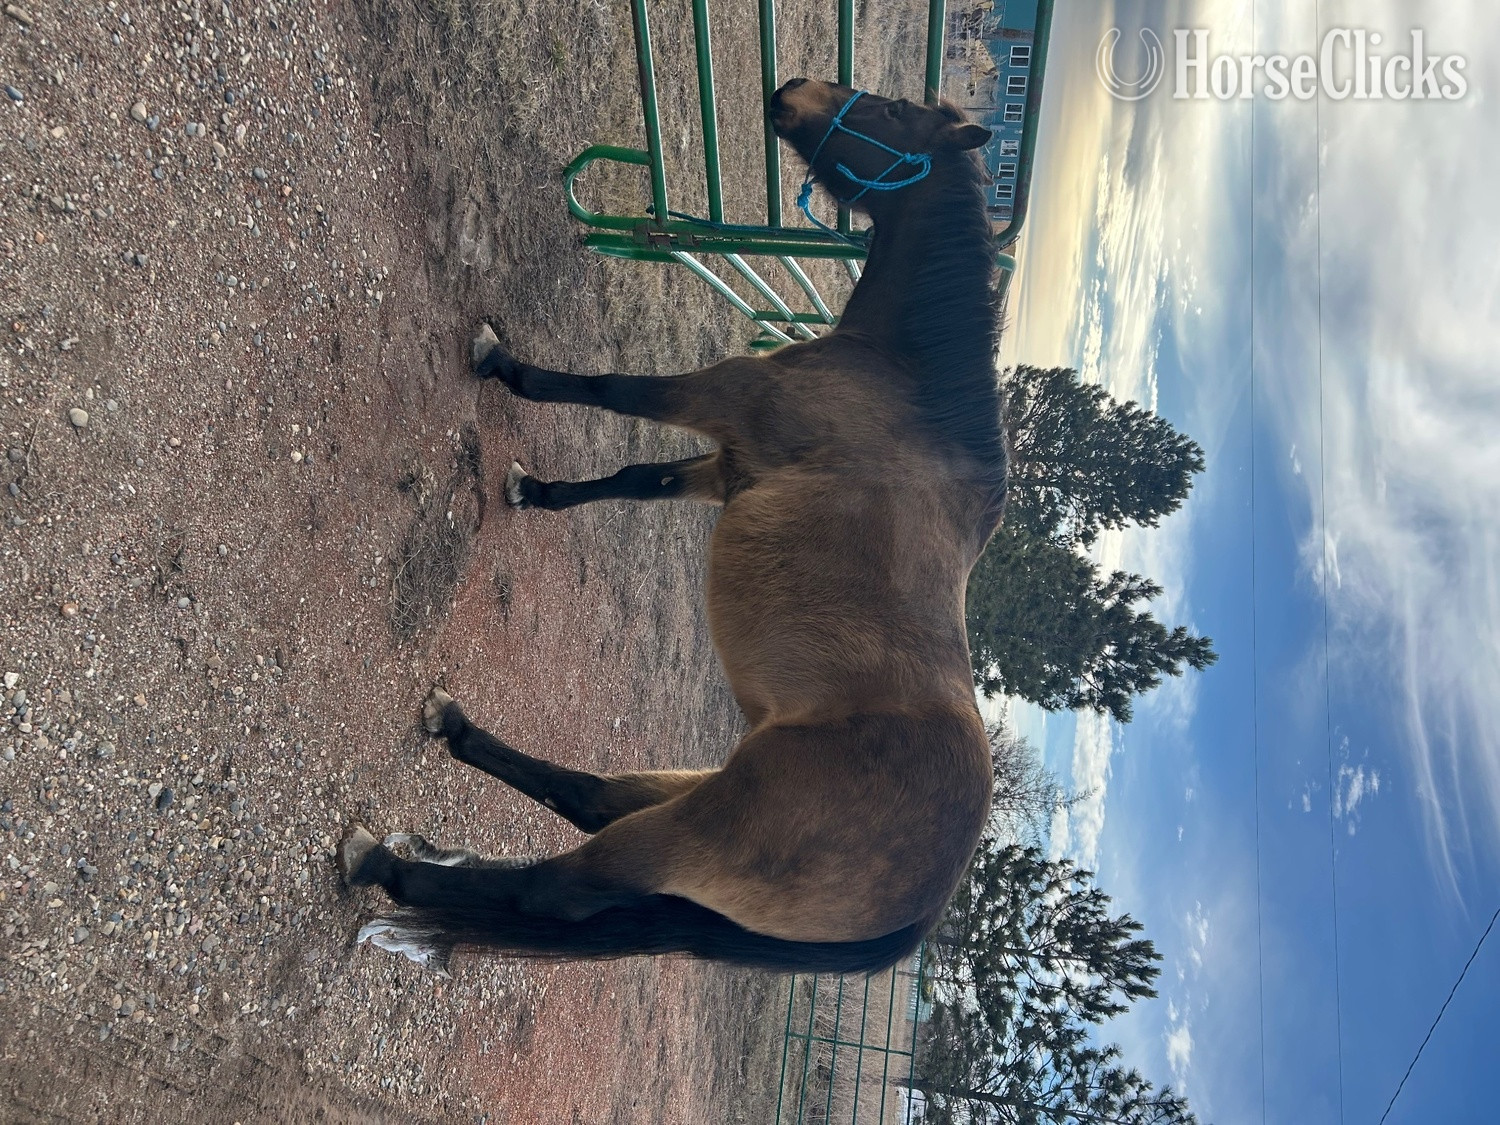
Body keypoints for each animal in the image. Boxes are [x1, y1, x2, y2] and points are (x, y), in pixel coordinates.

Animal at [338, 79, 1008, 976]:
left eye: (894, 110)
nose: (789, 92)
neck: (904, 382)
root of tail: (918, 915)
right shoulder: (728, 466)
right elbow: (635, 479)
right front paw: (536, 491)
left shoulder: (720, 397)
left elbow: (612, 388)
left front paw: (504, 365)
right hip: (689, 789)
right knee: (592, 797)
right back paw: (457, 731)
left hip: (690, 831)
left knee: (553, 888)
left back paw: (386, 862)